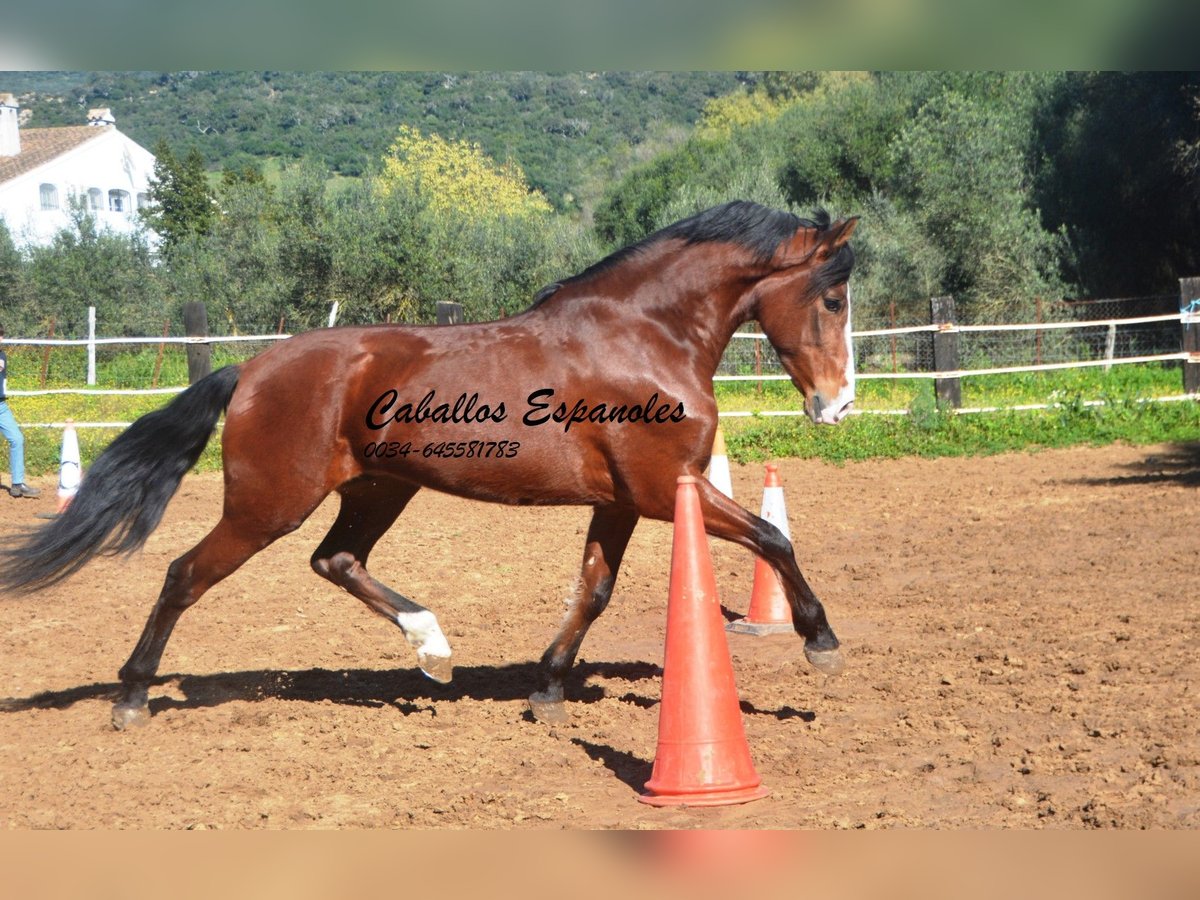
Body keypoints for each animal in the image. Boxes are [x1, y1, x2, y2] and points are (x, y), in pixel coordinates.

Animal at [0, 200, 864, 729]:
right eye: (832, 298)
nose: (838, 403)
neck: (642, 336)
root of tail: (251, 369)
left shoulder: (622, 501)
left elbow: (593, 590)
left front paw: (547, 689)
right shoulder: (665, 490)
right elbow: (774, 538)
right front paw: (821, 642)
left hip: (378, 488)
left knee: (336, 560)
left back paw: (434, 650)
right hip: (268, 504)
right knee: (186, 574)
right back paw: (132, 697)